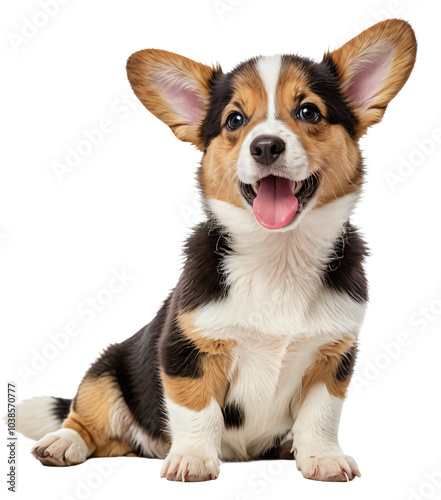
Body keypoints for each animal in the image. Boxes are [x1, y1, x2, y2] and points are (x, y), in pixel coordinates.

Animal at [17, 18, 416, 480]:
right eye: (234, 120)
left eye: (309, 112)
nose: (265, 146)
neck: (278, 255)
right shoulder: (186, 350)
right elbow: (197, 409)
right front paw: (192, 458)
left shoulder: (333, 355)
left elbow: (321, 413)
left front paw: (322, 457)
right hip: (107, 370)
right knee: (87, 421)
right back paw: (63, 443)